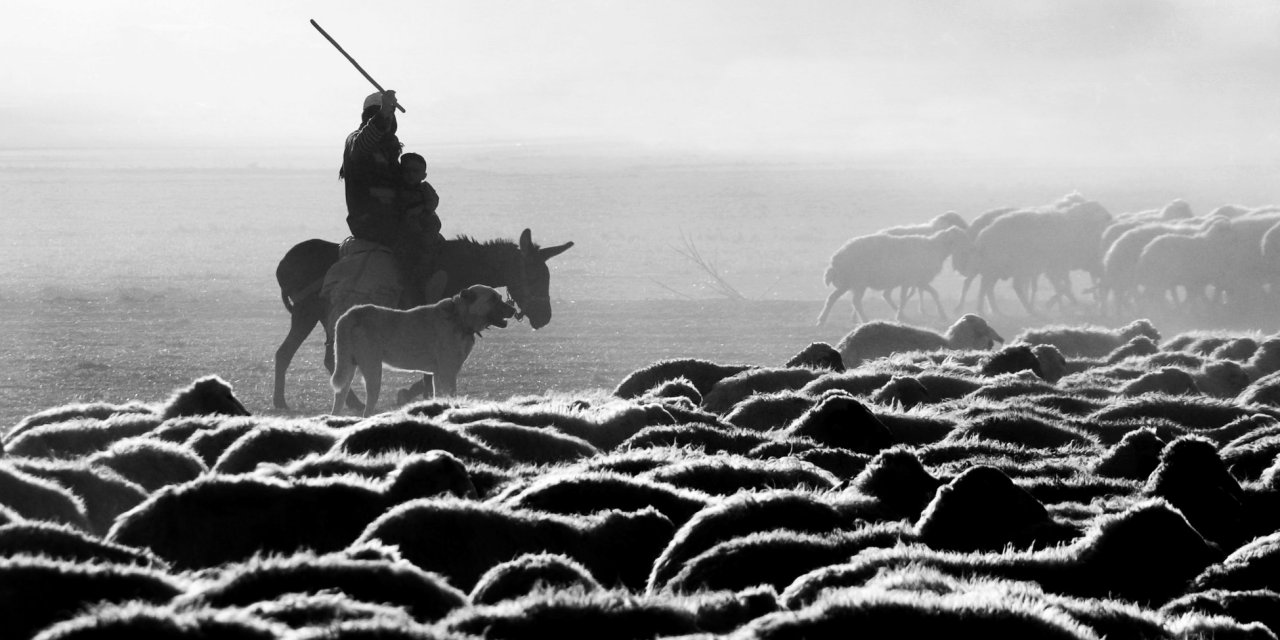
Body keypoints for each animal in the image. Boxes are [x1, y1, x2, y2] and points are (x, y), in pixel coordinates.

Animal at [330, 284, 519, 414]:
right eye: (493, 299)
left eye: (499, 297)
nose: (513, 310)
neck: (459, 318)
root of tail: (352, 313)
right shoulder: (448, 373)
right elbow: (452, 397)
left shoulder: (438, 375)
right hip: (373, 371)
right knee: (368, 408)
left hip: (348, 370)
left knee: (339, 401)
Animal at [819, 226, 967, 325]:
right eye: (959, 238)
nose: (969, 247)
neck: (935, 248)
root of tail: (835, 259)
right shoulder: (912, 280)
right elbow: (906, 298)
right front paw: (900, 316)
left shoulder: (916, 281)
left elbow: (933, 294)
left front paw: (942, 315)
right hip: (858, 281)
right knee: (855, 301)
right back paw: (866, 320)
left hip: (847, 283)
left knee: (832, 298)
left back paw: (822, 320)